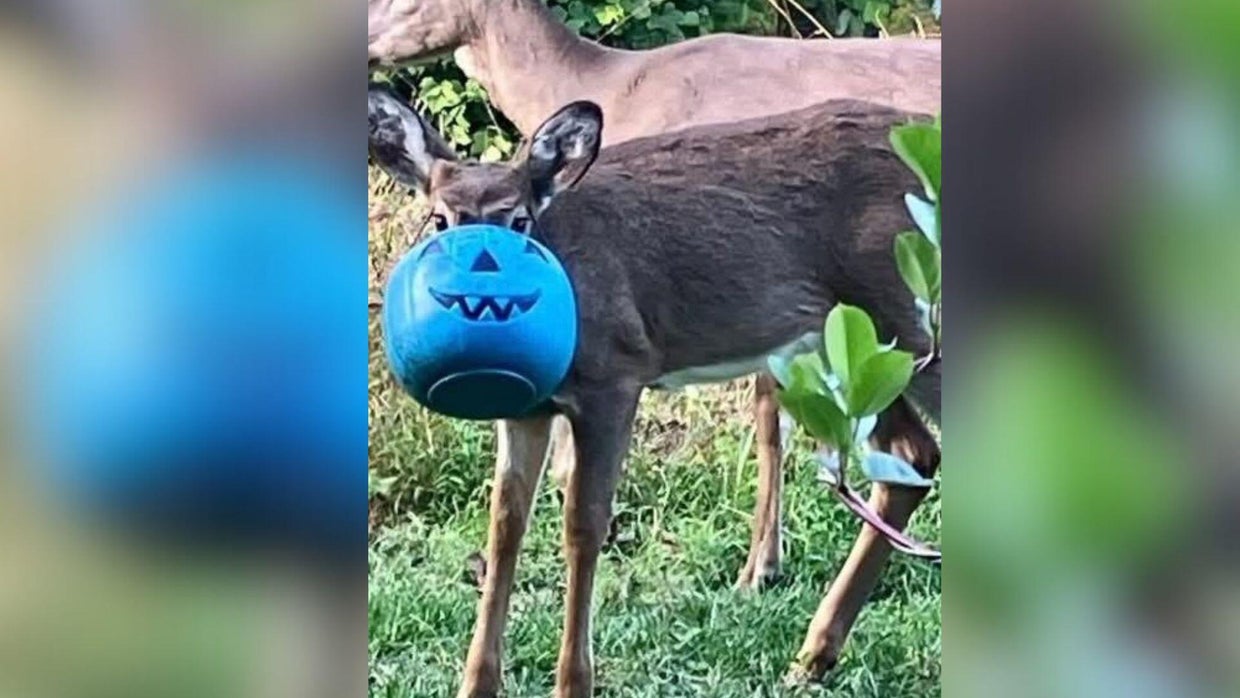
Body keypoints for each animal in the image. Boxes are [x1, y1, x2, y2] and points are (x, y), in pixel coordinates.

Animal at [368, 84, 941, 696]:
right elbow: (505, 525)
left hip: (902, 309)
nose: (476, 282)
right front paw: (476, 683)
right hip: (848, 346)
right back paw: (813, 655)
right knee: (910, 456)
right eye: (439, 219)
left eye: (519, 220)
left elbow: (583, 524)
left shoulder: (617, 373)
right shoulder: (529, 408)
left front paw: (573, 682)